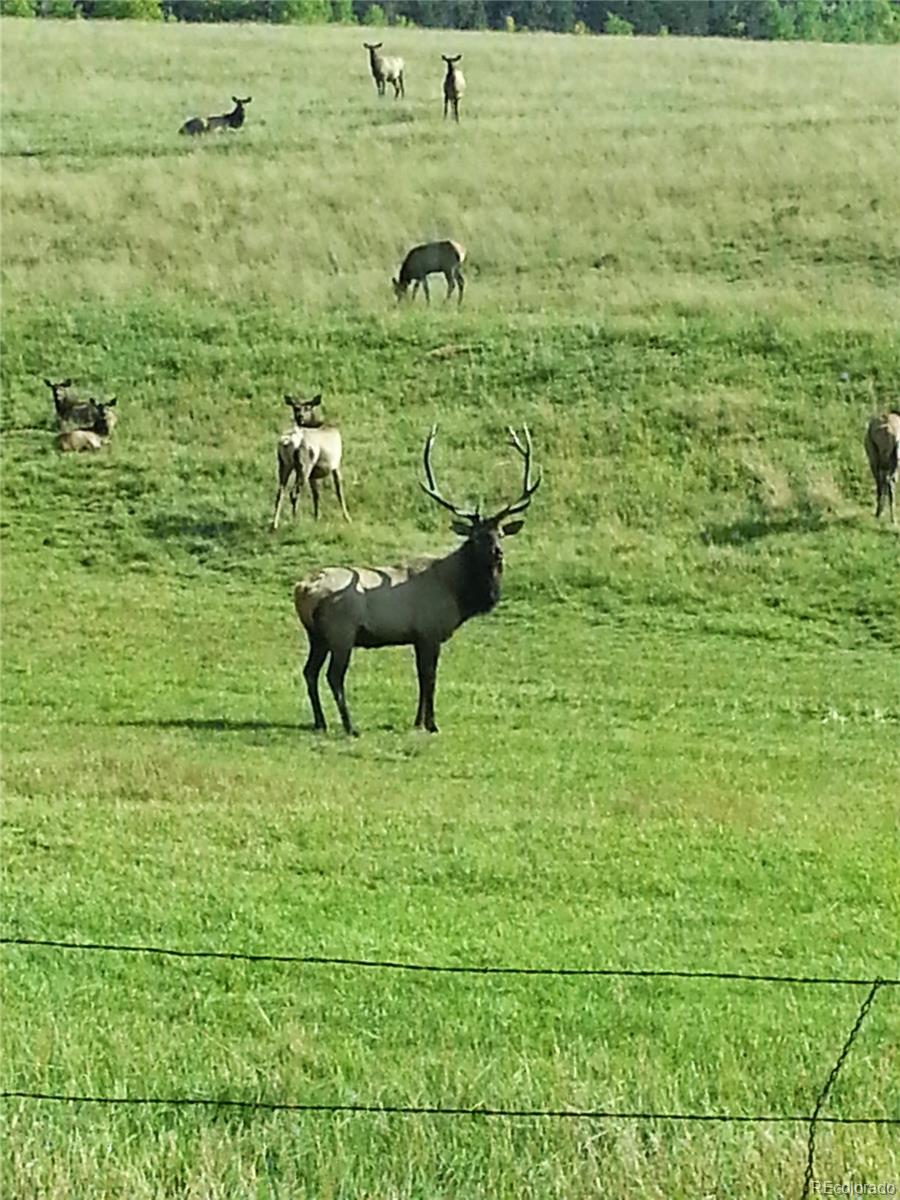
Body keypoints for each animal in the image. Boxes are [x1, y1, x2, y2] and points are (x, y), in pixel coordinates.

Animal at [270, 393, 350, 530]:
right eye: (295, 408)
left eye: (307, 407)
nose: (300, 416)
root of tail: (288, 441)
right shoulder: (335, 465)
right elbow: (339, 491)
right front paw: (347, 518)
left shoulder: (314, 474)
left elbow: (316, 494)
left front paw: (317, 517)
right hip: (305, 464)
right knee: (294, 493)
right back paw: (295, 521)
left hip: (284, 464)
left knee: (280, 492)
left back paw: (274, 525)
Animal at [294, 427, 542, 734]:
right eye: (476, 536)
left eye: (501, 534)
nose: (497, 553)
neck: (458, 594)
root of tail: (302, 590)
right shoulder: (430, 631)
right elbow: (430, 678)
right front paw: (432, 724)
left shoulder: (417, 637)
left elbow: (421, 679)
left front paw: (418, 721)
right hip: (342, 632)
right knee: (333, 676)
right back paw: (350, 726)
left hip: (316, 635)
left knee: (309, 672)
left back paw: (320, 722)